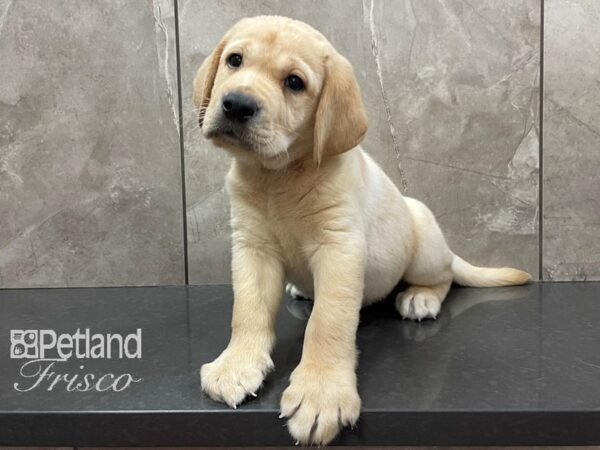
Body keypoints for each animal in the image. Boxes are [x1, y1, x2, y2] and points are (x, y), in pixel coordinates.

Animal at [195, 15, 532, 444]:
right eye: (235, 60)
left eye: (294, 83)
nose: (237, 103)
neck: (278, 177)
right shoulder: (252, 247)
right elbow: (248, 310)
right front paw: (236, 364)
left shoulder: (339, 248)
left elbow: (328, 323)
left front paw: (321, 393)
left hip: (423, 245)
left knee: (441, 278)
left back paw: (420, 298)